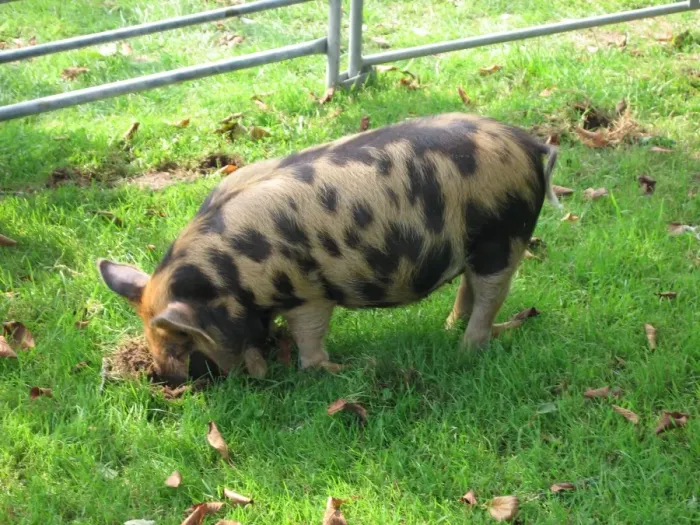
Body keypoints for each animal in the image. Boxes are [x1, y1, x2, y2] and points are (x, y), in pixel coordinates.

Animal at [97, 112, 560, 386]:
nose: (167, 380)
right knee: (469, 287)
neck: (229, 275)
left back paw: (467, 350)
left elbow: (310, 340)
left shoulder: (308, 294)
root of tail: (528, 144)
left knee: (490, 292)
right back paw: (451, 330)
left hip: (504, 234)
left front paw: (338, 370)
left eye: (180, 341)